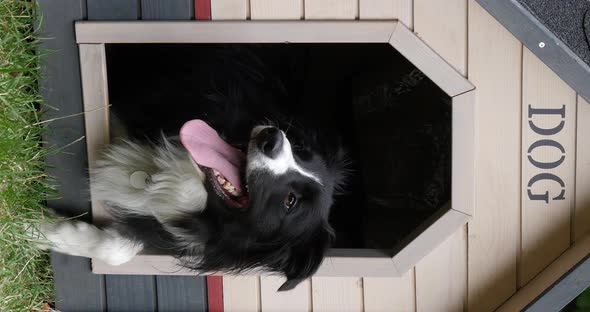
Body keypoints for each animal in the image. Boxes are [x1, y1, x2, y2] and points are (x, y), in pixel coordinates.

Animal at [37, 44, 350, 290]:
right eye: (300, 148)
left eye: (290, 202)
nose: (271, 138)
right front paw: (37, 228)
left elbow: (121, 248)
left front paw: (39, 229)